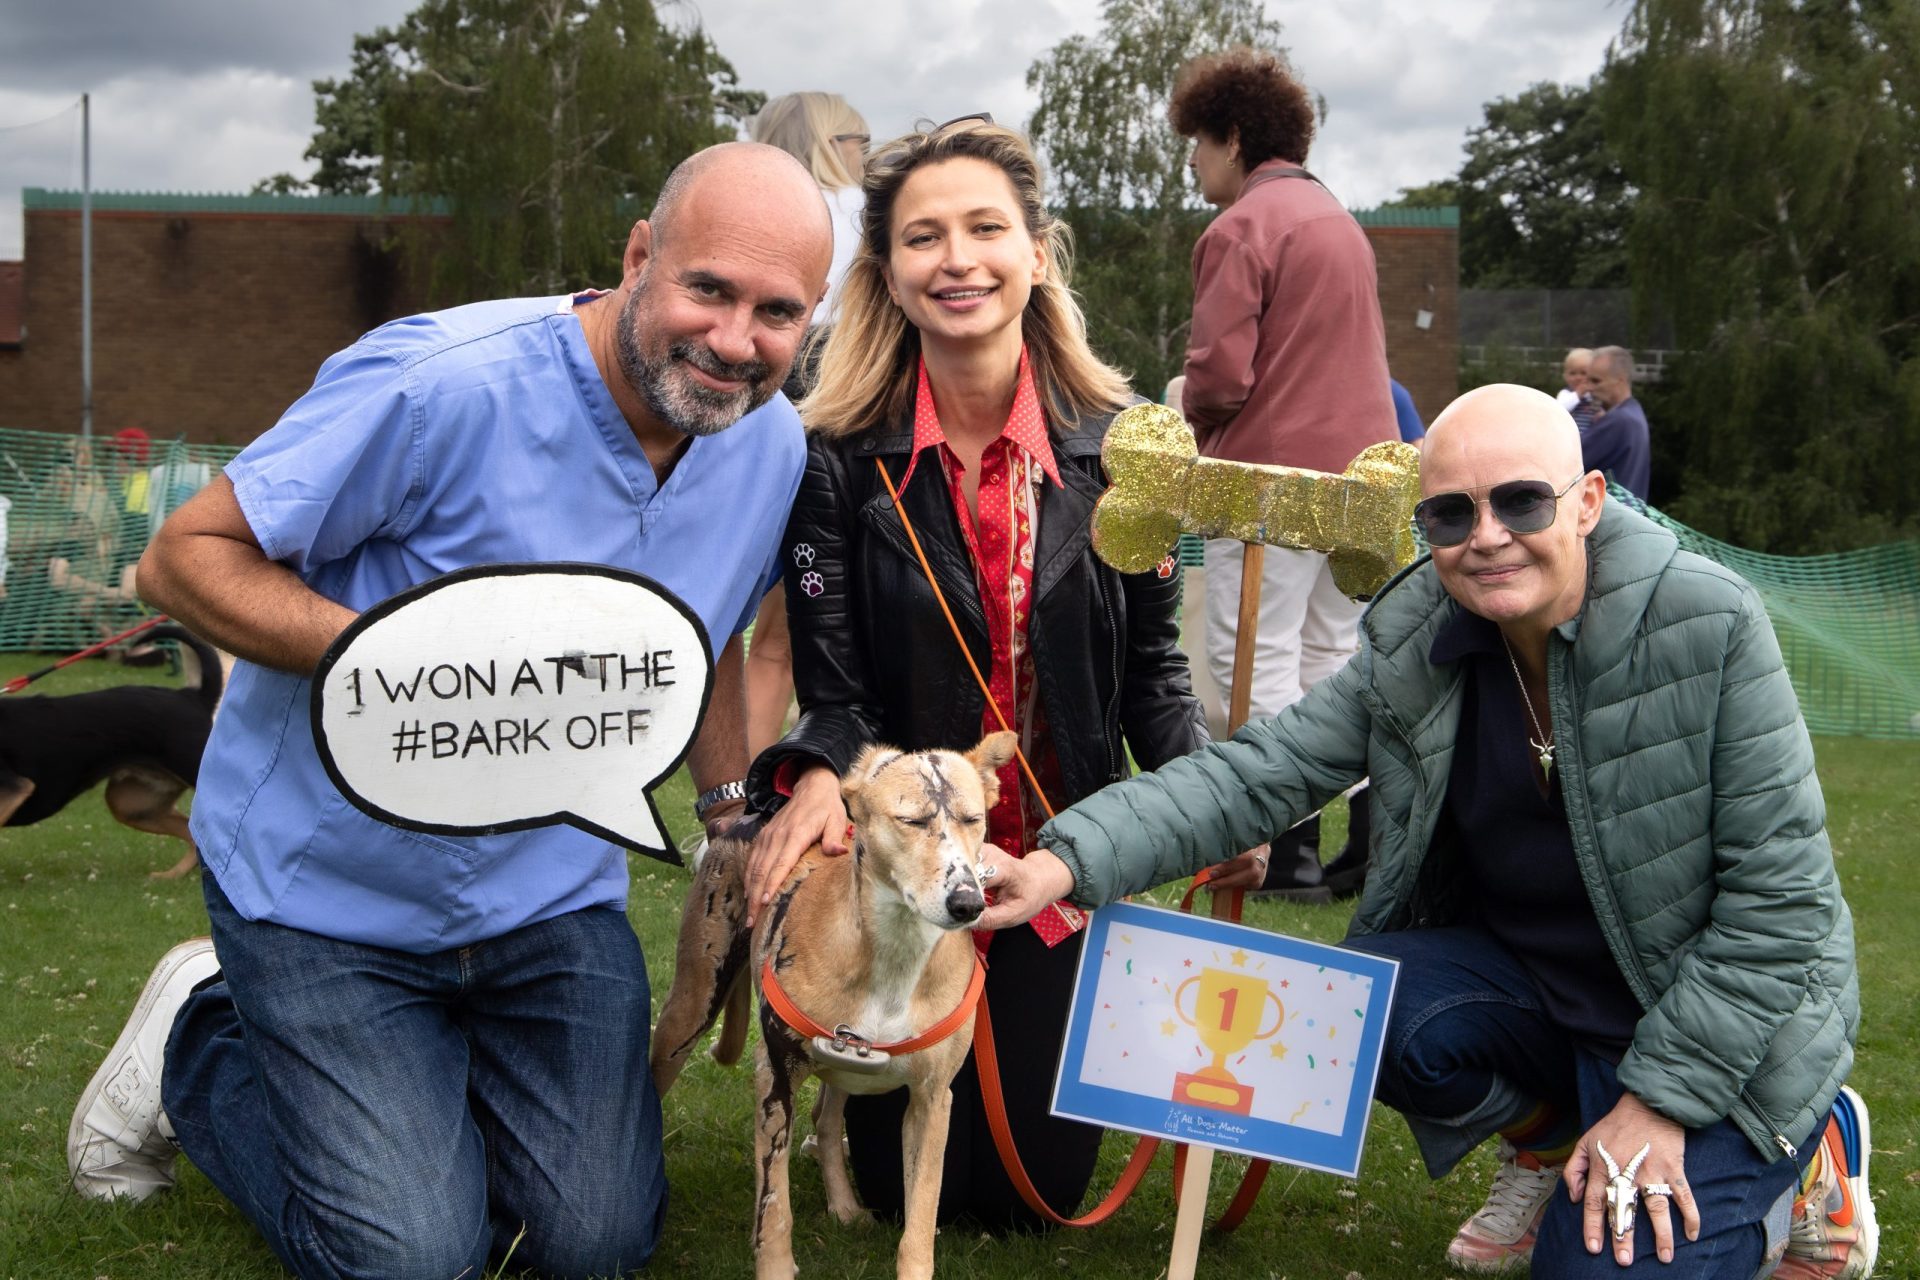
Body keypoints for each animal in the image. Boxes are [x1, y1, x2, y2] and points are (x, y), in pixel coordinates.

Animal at [652, 731, 1016, 1280]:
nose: (968, 903)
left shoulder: (932, 1102)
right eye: (911, 821)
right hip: (689, 1010)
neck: (893, 953)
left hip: (848, 1069)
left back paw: (843, 1203)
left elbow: (920, 1215)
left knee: (826, 1117)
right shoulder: (775, 1080)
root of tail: (746, 817)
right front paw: (775, 1265)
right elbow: (774, 1207)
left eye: (973, 820)